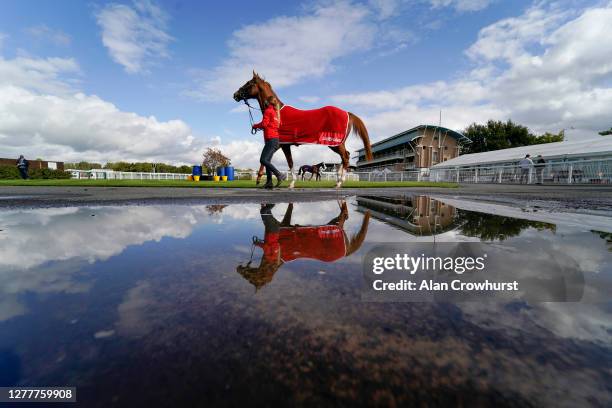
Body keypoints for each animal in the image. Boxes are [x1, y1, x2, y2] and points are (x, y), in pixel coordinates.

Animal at [232, 71, 372, 188]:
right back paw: (338, 179)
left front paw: (290, 183)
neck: (277, 111)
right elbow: (268, 161)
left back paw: (339, 182)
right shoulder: (279, 144)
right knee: (345, 156)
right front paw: (263, 179)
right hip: (337, 144)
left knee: (345, 157)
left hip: (335, 143)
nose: (235, 95)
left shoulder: (283, 145)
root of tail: (348, 113)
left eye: (248, 83)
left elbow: (287, 162)